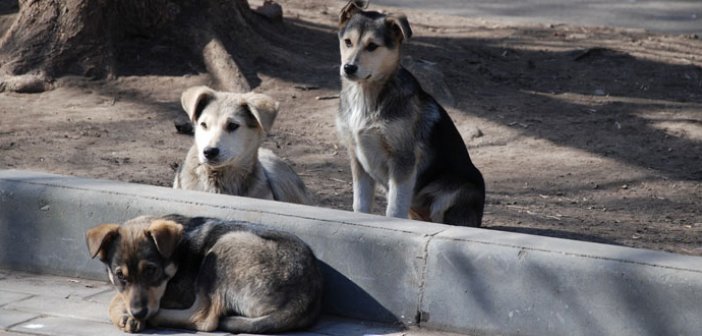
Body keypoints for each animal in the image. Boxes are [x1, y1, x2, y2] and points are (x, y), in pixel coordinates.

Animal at [85, 215, 324, 334]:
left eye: (151, 270)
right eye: (120, 276)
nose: (139, 313)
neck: (177, 254)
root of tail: (304, 300)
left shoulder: (178, 293)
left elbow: (114, 300)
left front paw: (126, 315)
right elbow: (119, 295)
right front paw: (127, 315)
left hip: (225, 246)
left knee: (204, 318)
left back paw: (155, 319)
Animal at [338, 0, 486, 227]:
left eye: (372, 46)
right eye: (347, 42)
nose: (349, 68)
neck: (366, 96)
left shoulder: (403, 160)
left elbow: (395, 208)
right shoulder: (357, 158)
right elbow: (360, 204)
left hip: (453, 191)